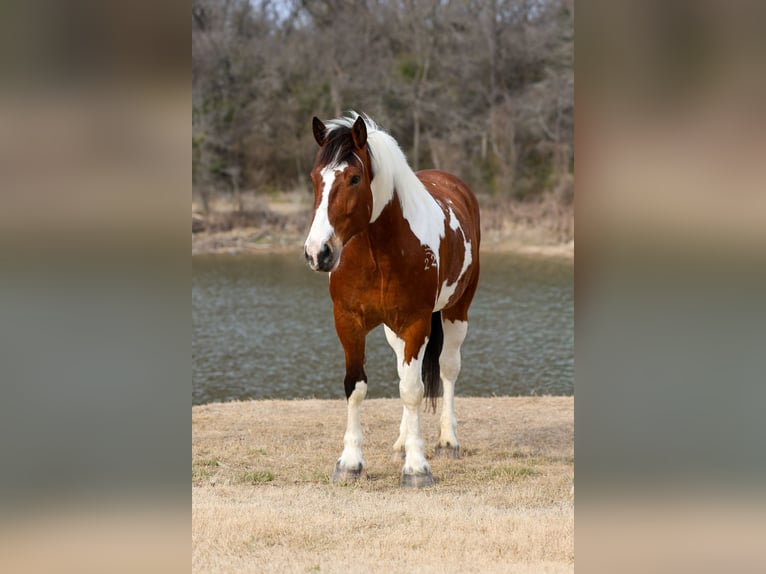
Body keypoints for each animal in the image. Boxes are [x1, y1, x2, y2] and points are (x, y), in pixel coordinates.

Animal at [304, 112, 480, 488]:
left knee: (447, 369)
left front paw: (417, 468)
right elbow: (356, 387)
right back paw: (401, 443)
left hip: (456, 311)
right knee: (403, 369)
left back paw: (447, 442)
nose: (317, 252)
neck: (378, 252)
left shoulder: (415, 322)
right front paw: (350, 463)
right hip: (393, 330)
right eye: (314, 178)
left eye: (354, 178)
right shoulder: (349, 322)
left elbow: (412, 390)